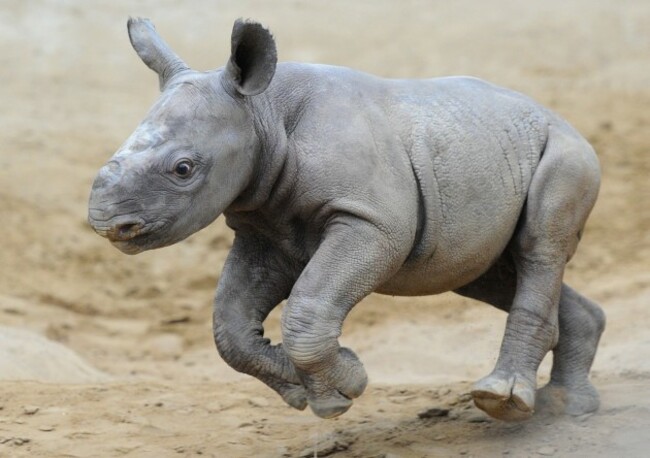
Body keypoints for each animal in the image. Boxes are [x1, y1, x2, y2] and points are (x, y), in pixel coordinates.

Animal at [87, 17, 604, 420]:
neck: (262, 114)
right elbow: (229, 327)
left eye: (183, 169)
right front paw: (315, 394)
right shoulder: (265, 226)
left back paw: (503, 399)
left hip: (565, 152)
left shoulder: (372, 220)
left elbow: (308, 305)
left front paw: (346, 385)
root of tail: (562, 119)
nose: (107, 223)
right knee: (482, 271)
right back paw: (566, 406)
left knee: (538, 246)